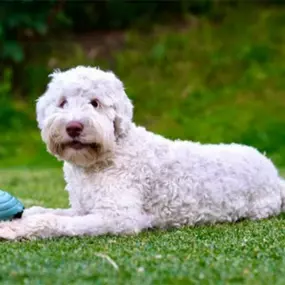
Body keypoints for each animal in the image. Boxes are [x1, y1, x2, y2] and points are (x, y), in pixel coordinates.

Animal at [0, 65, 284, 239]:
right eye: (62, 102)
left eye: (95, 103)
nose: (73, 126)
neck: (107, 155)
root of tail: (273, 171)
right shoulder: (83, 207)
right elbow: (49, 211)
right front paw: (25, 214)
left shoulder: (119, 217)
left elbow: (56, 222)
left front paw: (14, 229)